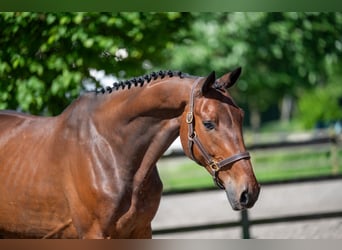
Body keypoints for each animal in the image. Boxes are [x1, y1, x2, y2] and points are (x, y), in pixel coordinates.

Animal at [0, 67, 258, 238]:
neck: (111, 150)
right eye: (209, 123)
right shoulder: (95, 235)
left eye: (241, 117)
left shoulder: (141, 230)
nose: (249, 191)